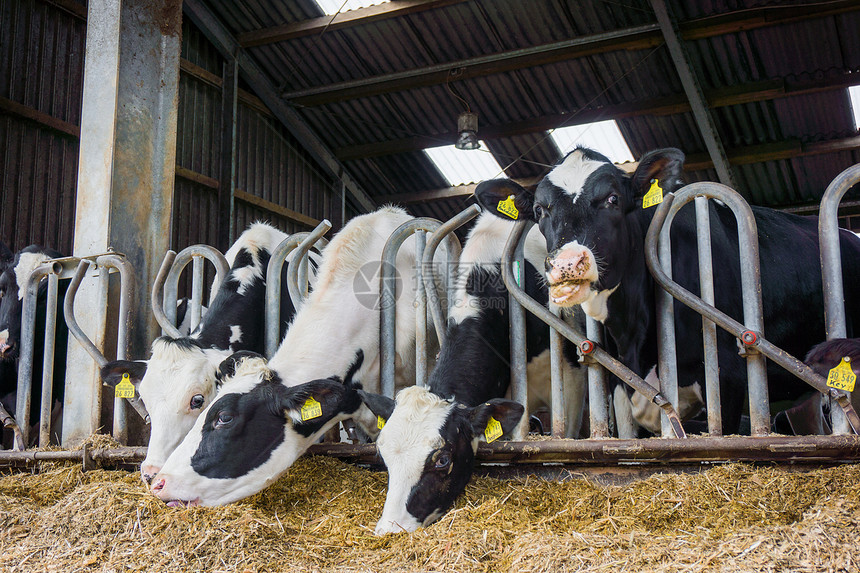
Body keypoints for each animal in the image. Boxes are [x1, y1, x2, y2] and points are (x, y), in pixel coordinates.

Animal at [478, 147, 860, 434]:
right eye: (539, 210)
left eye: (613, 199)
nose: (567, 264)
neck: (635, 332)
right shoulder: (620, 386)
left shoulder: (728, 376)